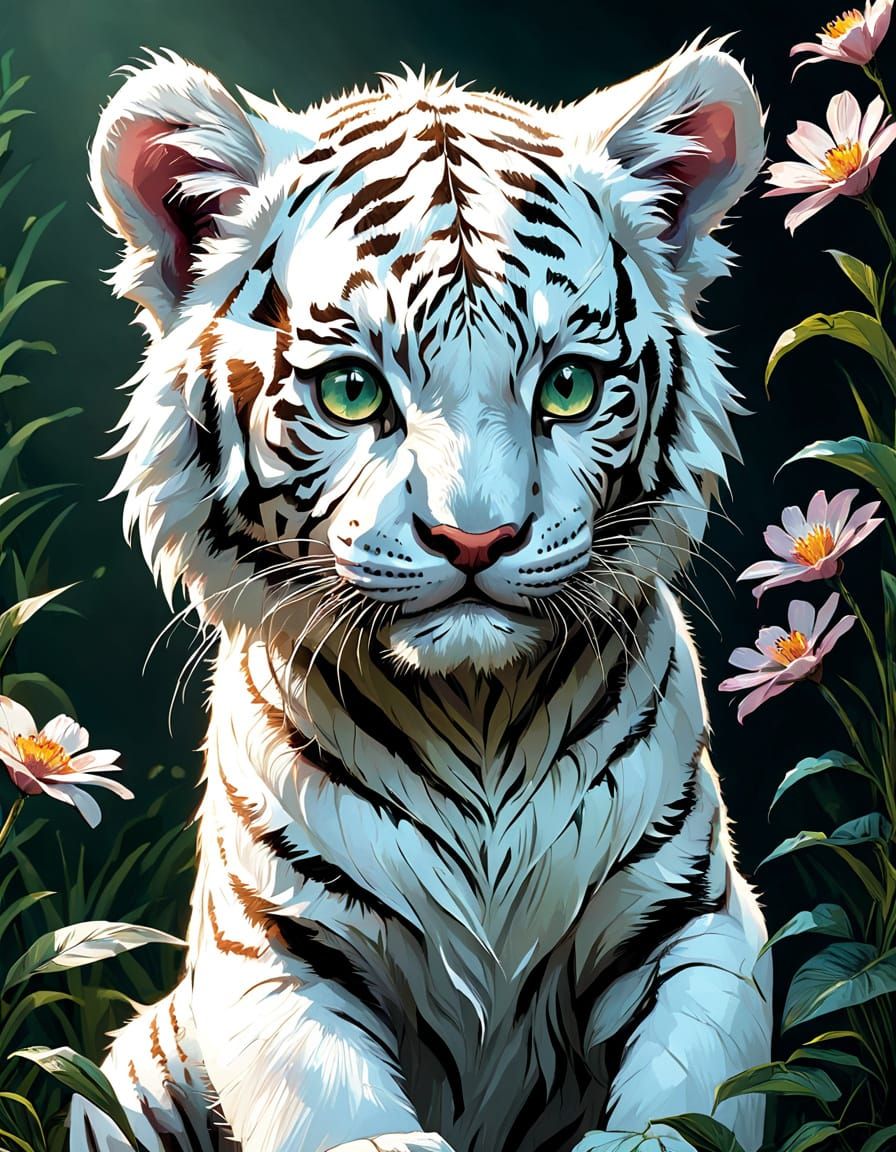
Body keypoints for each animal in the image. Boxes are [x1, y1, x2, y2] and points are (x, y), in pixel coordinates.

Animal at [71, 38, 771, 1152]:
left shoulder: (701, 922)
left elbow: (689, 1097)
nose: (474, 537)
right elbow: (334, 1113)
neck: (474, 715)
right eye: (353, 390)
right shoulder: (270, 954)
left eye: (567, 386)